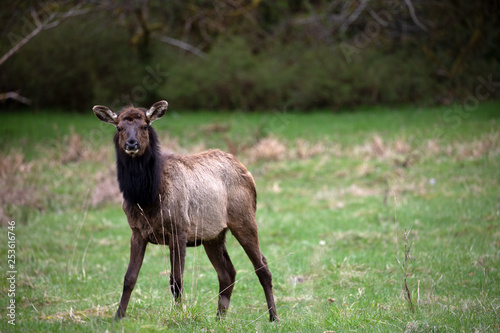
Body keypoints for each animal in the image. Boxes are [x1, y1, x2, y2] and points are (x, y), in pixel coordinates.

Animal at [92, 100, 280, 320]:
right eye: (119, 127)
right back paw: (219, 317)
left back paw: (273, 317)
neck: (147, 198)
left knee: (262, 266)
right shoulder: (137, 231)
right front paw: (118, 316)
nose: (131, 144)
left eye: (145, 126)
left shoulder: (179, 229)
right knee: (228, 272)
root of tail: (247, 172)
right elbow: (129, 277)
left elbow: (176, 281)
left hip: (244, 218)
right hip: (213, 235)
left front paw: (178, 315)